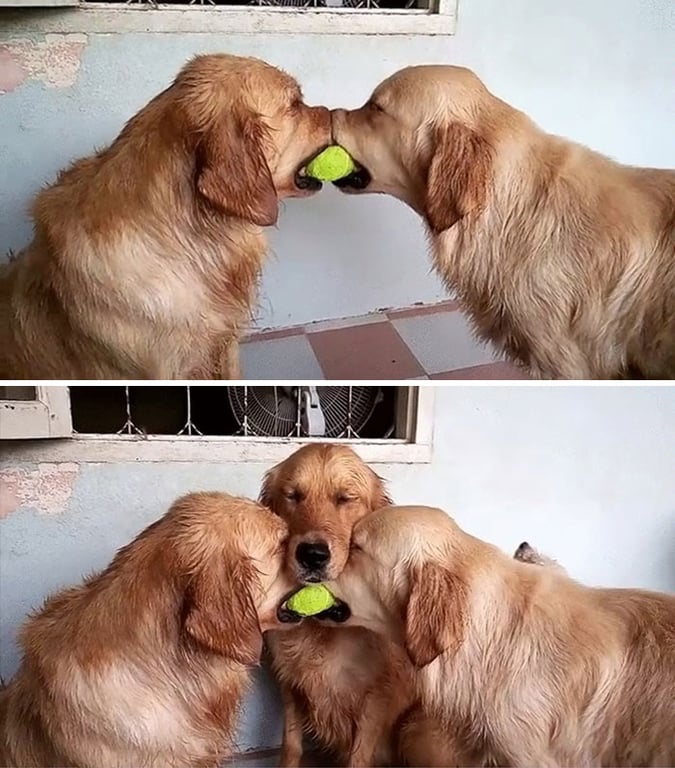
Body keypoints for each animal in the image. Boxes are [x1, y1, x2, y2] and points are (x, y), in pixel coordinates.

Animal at [262, 444, 456, 768]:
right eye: (294, 495)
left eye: (345, 498)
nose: (312, 555)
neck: (323, 624)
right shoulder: (289, 684)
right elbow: (291, 747)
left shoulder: (374, 698)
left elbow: (358, 757)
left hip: (415, 728)